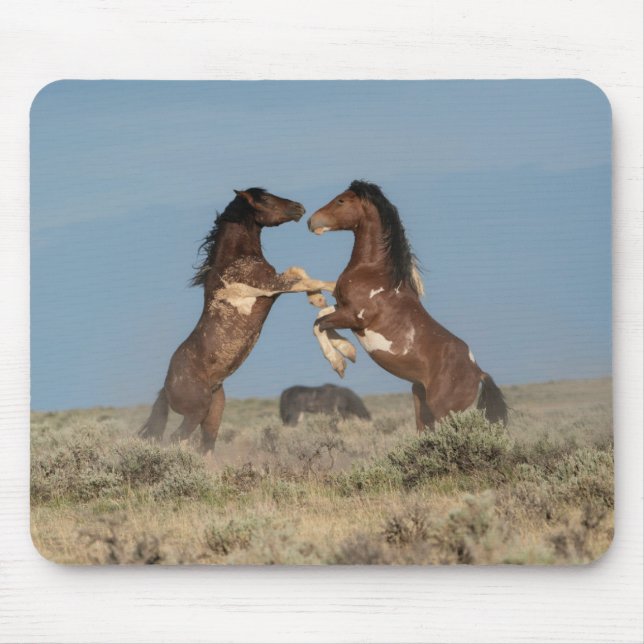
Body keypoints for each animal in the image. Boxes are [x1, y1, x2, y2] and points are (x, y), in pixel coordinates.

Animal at [139, 188, 355, 453]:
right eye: (265, 199)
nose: (299, 208)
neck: (234, 260)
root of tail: (167, 386)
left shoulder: (276, 283)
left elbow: (300, 273)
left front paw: (318, 300)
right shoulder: (272, 285)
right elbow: (306, 278)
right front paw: (332, 290)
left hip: (214, 412)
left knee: (205, 446)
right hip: (195, 413)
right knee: (175, 440)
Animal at [307, 180, 507, 432]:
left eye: (341, 200)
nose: (311, 221)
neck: (374, 272)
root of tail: (478, 372)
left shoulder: (355, 317)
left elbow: (319, 324)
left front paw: (339, 364)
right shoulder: (341, 308)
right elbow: (321, 316)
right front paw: (348, 351)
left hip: (445, 412)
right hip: (420, 402)